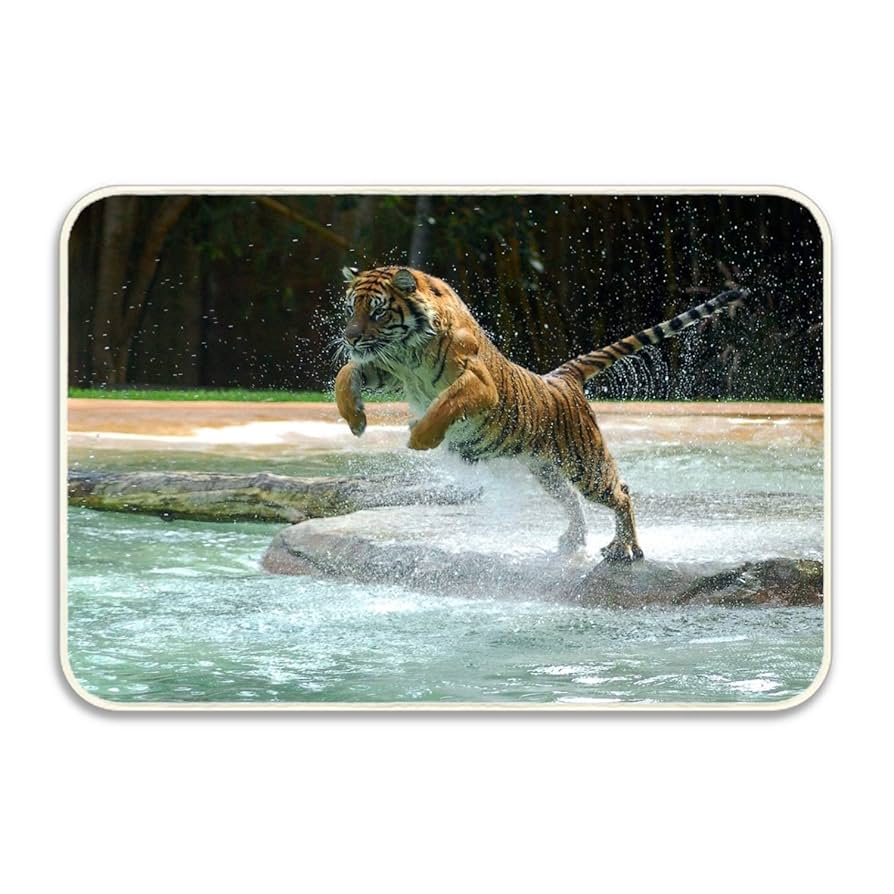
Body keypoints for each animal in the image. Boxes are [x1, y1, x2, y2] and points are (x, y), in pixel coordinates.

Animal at [334, 265, 748, 563]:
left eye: (377, 310)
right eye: (352, 308)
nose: (349, 337)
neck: (409, 351)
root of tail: (562, 377)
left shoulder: (479, 383)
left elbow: (445, 403)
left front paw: (420, 437)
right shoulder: (387, 369)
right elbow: (346, 373)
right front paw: (355, 419)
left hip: (586, 464)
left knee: (621, 493)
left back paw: (624, 550)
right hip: (546, 470)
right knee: (573, 502)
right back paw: (572, 542)